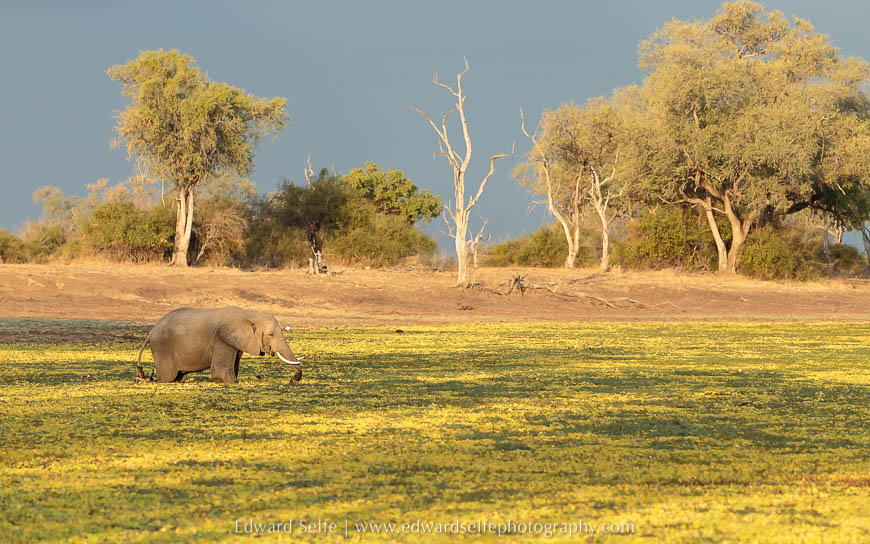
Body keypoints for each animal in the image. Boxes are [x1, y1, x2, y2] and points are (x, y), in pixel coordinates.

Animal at [136, 306, 302, 384]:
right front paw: (233, 382)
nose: (292, 380)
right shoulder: (222, 338)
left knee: (180, 377)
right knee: (167, 378)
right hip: (162, 348)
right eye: (271, 335)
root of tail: (151, 332)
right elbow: (220, 371)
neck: (250, 315)